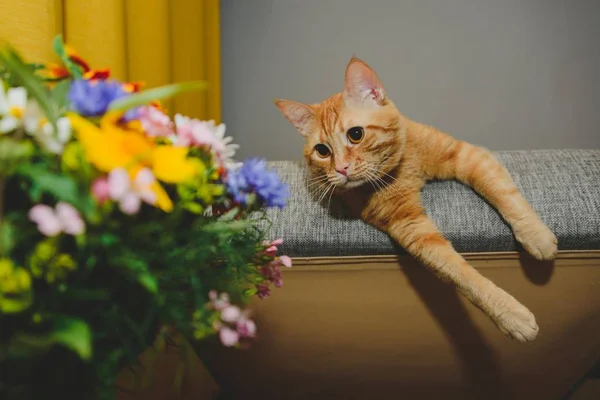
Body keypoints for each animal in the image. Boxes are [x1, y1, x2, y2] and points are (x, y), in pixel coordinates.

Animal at [276, 57, 556, 344]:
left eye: (356, 134)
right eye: (322, 151)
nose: (341, 169)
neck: (404, 170)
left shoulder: (467, 156)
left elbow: (504, 193)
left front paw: (536, 235)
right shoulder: (412, 228)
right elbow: (461, 273)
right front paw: (510, 314)